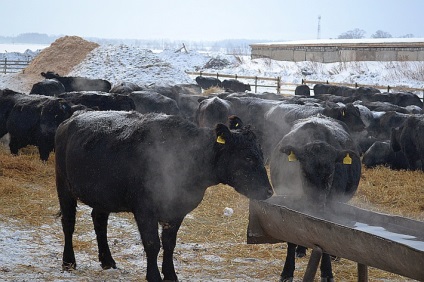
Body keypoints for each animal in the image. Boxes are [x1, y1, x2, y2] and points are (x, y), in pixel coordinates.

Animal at [54, 112, 274, 282]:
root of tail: (70, 119)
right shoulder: (145, 209)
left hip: (103, 194)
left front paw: (170, 275)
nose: (269, 192)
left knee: (99, 221)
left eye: (262, 154)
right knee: (68, 223)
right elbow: (153, 244)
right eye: (248, 157)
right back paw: (68, 262)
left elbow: (169, 244)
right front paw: (154, 276)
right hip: (64, 185)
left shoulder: (176, 210)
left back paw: (107, 260)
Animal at [270, 115, 360, 282]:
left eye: (330, 174)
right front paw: (287, 272)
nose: (316, 205)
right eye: (304, 173)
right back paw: (301, 250)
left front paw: (327, 273)